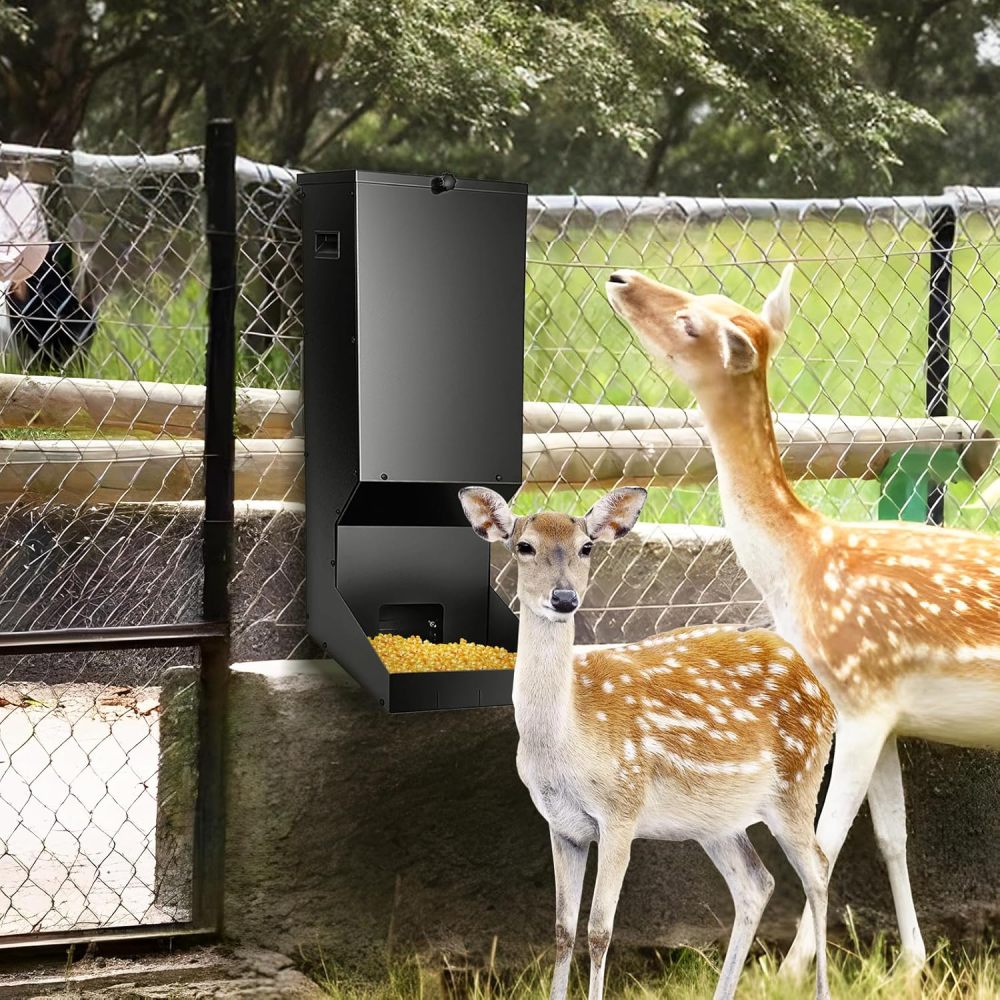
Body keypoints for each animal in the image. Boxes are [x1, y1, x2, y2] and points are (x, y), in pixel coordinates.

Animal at [459, 485, 836, 1000]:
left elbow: (599, 931)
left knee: (817, 869)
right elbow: (561, 930)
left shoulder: (622, 810)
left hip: (797, 783)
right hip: (717, 819)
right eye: (524, 546)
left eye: (586, 547)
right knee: (756, 883)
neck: (565, 745)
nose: (564, 597)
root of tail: (824, 692)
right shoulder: (561, 825)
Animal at [606, 262, 1000, 979]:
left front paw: (790, 971)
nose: (621, 277)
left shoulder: (859, 698)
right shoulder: (883, 709)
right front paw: (912, 965)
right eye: (707, 299)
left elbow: (825, 839)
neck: (798, 565)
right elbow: (892, 835)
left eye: (691, 323)